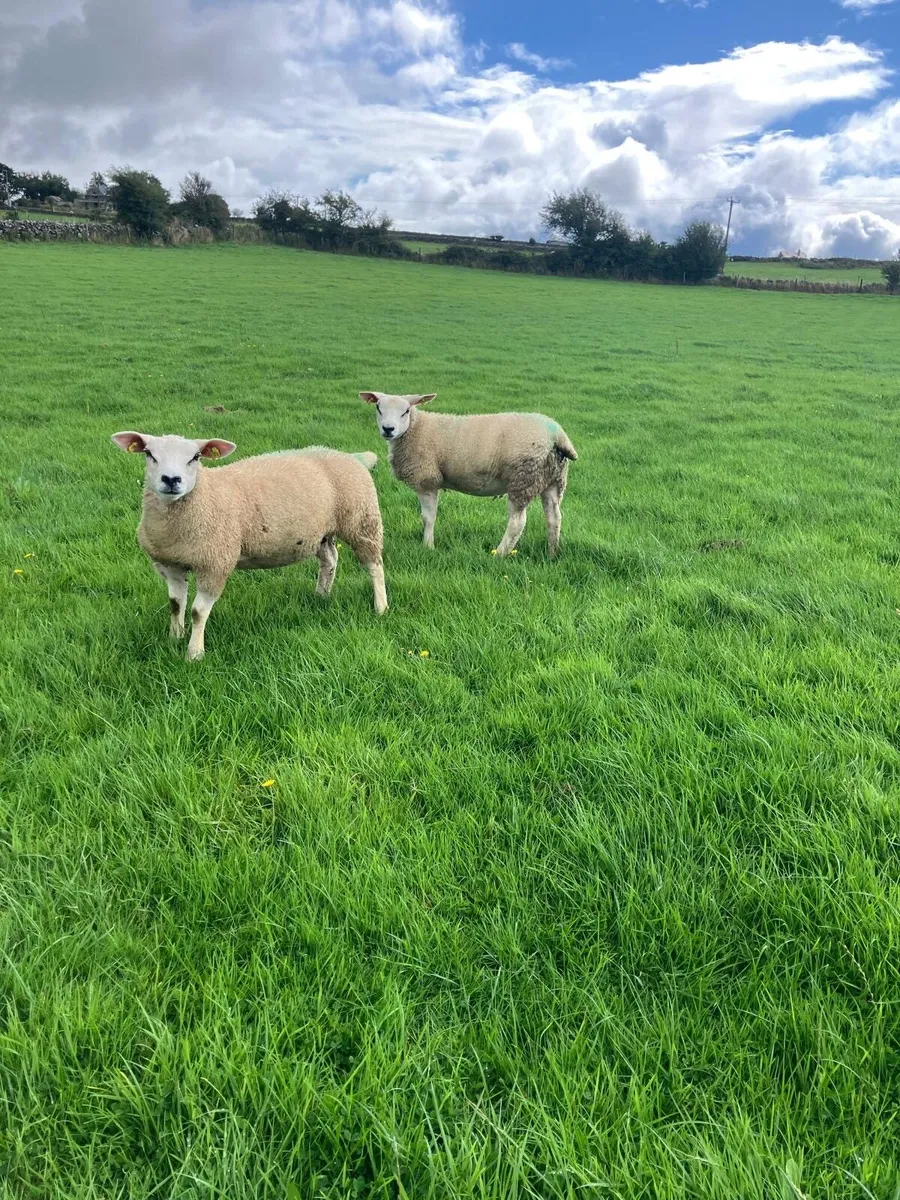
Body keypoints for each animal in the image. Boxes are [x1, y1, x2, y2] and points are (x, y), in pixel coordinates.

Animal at [110, 432, 388, 660]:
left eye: (195, 457)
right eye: (149, 454)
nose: (171, 479)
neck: (204, 494)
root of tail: (351, 456)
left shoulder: (216, 564)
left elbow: (198, 612)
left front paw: (194, 654)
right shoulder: (170, 565)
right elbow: (175, 605)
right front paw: (173, 639)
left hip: (362, 520)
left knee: (375, 565)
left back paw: (381, 608)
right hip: (319, 533)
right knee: (330, 559)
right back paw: (321, 595)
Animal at [360, 392, 577, 557]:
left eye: (405, 411)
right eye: (378, 408)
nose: (388, 429)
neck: (415, 428)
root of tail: (557, 435)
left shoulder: (427, 480)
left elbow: (428, 518)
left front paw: (428, 546)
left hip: (523, 479)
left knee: (517, 523)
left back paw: (499, 554)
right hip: (552, 479)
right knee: (554, 517)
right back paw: (552, 553)